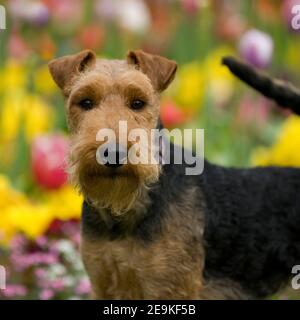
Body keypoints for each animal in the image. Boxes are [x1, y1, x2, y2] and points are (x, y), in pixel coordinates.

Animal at [48, 48, 300, 298]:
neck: (122, 216)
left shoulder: (171, 288)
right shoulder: (104, 282)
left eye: (138, 102)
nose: (113, 153)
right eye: (85, 102)